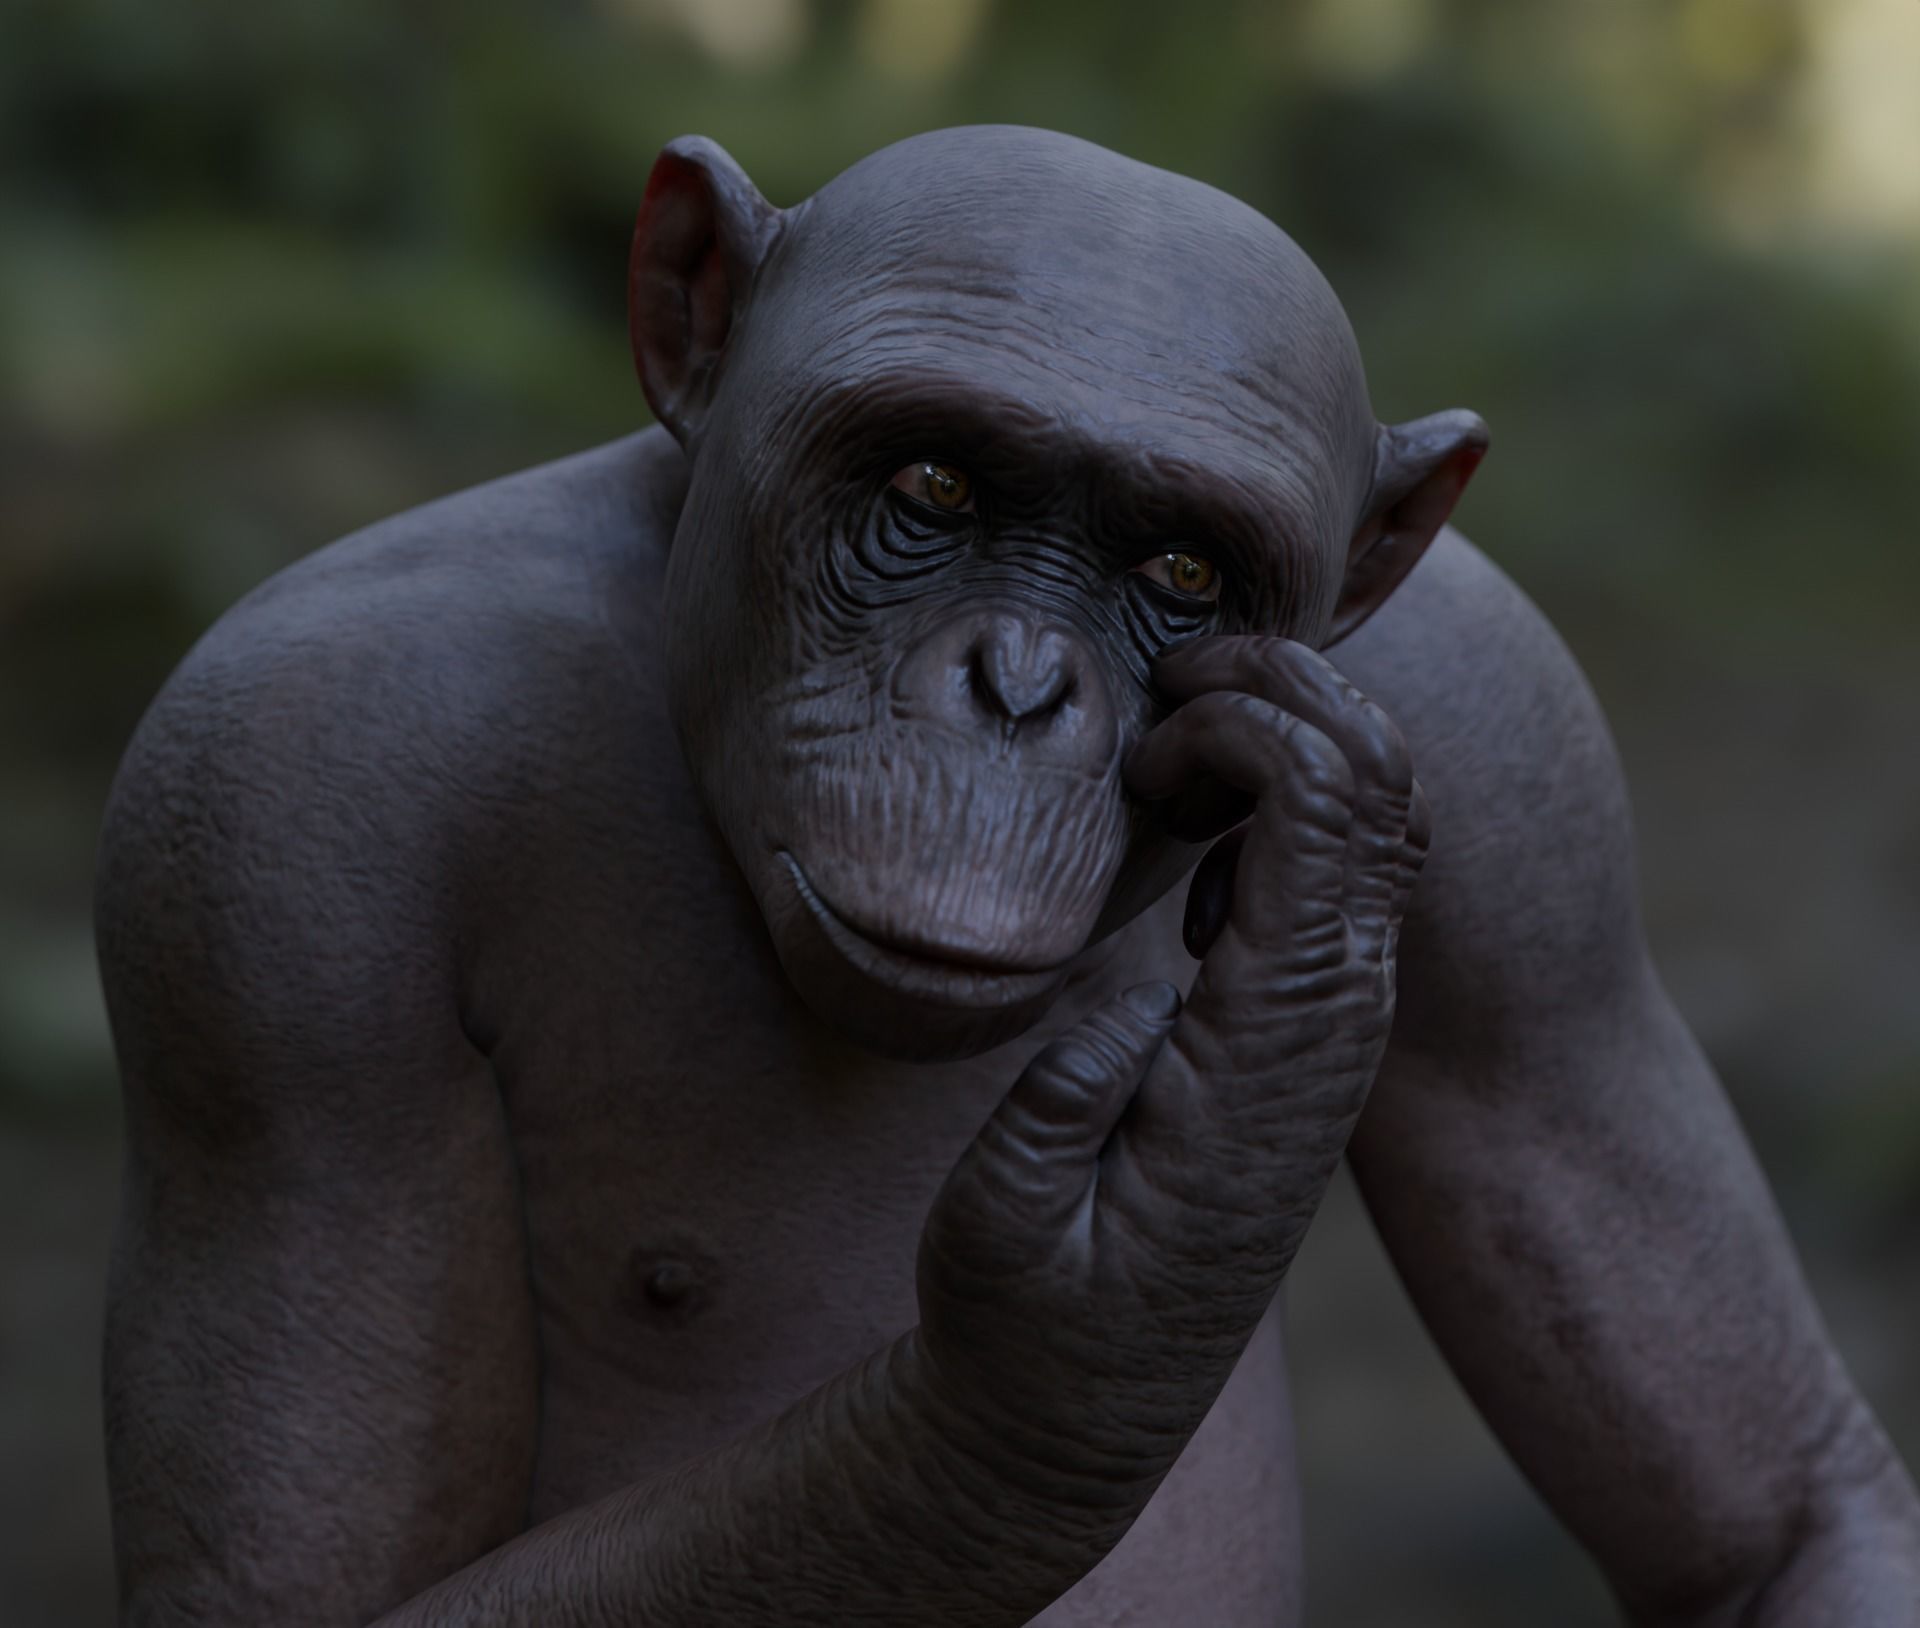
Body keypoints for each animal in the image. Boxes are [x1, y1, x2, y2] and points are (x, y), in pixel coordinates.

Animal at [94, 126, 1920, 1626]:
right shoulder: (277, 818)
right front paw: (1105, 1303)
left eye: (1181, 569)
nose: (1021, 687)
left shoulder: (1529, 776)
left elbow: (1775, 1517)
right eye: (932, 483)